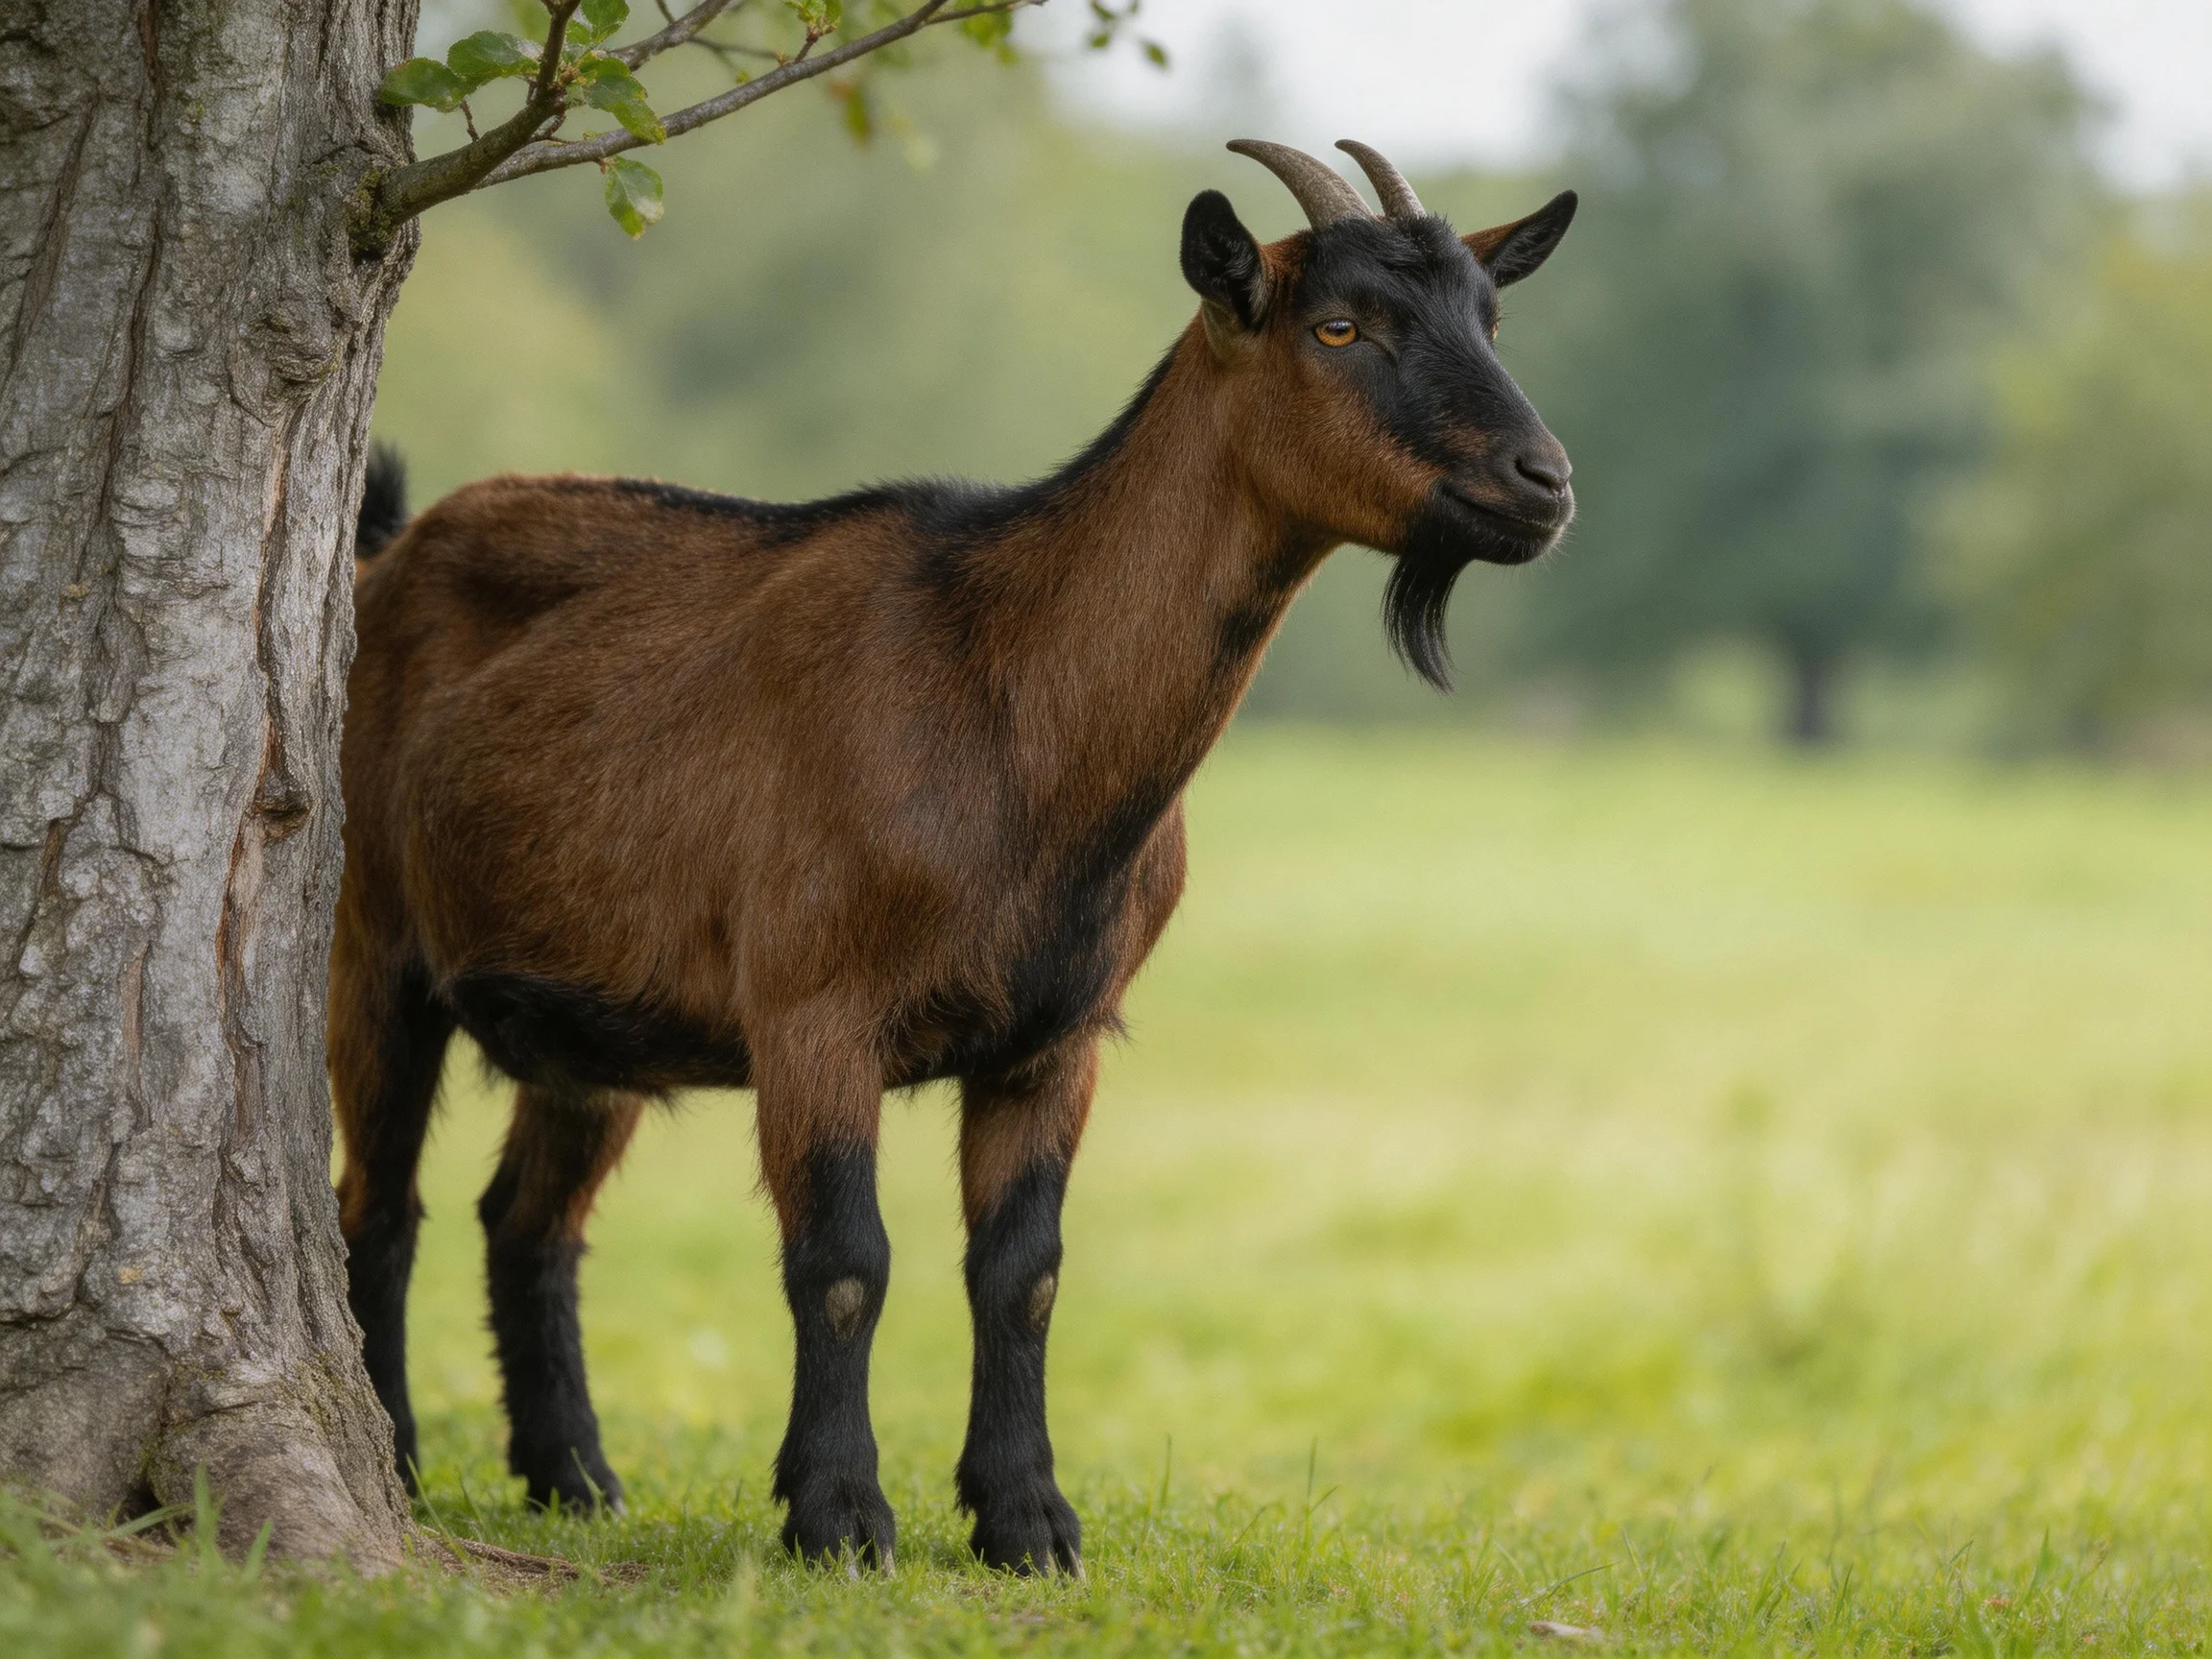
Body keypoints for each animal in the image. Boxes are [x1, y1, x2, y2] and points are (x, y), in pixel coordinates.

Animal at [332, 140, 1578, 1574]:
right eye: (1339, 328)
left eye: (1492, 319)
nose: (1545, 482)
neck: (1008, 699)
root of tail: (385, 555)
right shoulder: (814, 1008)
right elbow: (844, 1259)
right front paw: (839, 1517)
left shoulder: (1056, 1035)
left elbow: (1022, 1270)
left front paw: (1027, 1519)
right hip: (370, 940)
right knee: (378, 1202)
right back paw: (400, 1459)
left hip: (590, 1015)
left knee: (530, 1219)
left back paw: (577, 1479)